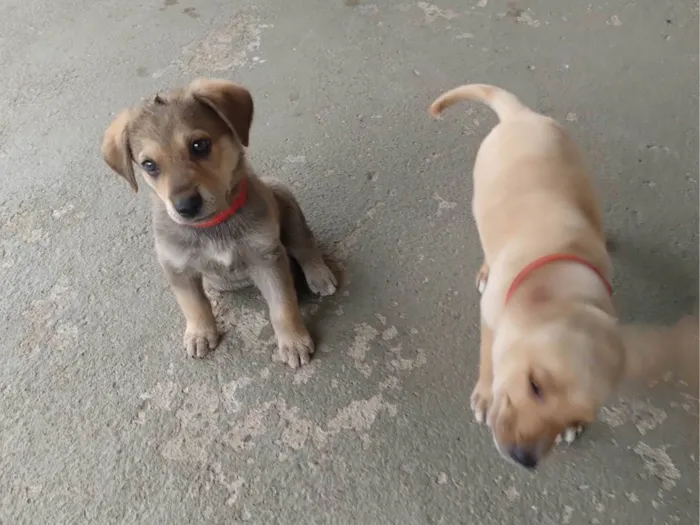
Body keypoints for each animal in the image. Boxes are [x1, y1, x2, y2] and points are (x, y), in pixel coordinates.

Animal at [100, 79, 336, 368]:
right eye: (149, 165)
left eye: (199, 145)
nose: (185, 206)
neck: (213, 227)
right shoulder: (177, 267)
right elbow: (193, 304)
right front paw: (200, 334)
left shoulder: (267, 257)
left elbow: (283, 307)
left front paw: (293, 341)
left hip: (286, 201)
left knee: (305, 244)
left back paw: (319, 275)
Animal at [426, 84, 616, 468]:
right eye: (535, 387)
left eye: (583, 415)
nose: (524, 460)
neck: (559, 273)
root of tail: (520, 115)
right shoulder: (490, 317)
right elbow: (489, 357)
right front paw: (485, 395)